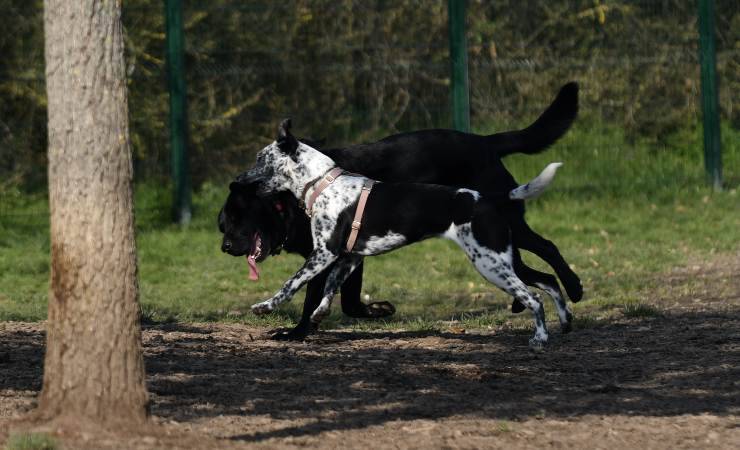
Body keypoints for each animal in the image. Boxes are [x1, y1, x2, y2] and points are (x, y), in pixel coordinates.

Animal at [220, 82, 584, 340]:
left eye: (260, 158)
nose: (237, 179)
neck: (323, 182)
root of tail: (488, 196)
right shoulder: (348, 258)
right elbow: (330, 293)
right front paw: (321, 316)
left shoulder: (323, 254)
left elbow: (293, 285)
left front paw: (273, 313)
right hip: (502, 258)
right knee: (546, 282)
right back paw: (564, 321)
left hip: (491, 262)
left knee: (538, 286)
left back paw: (542, 333)